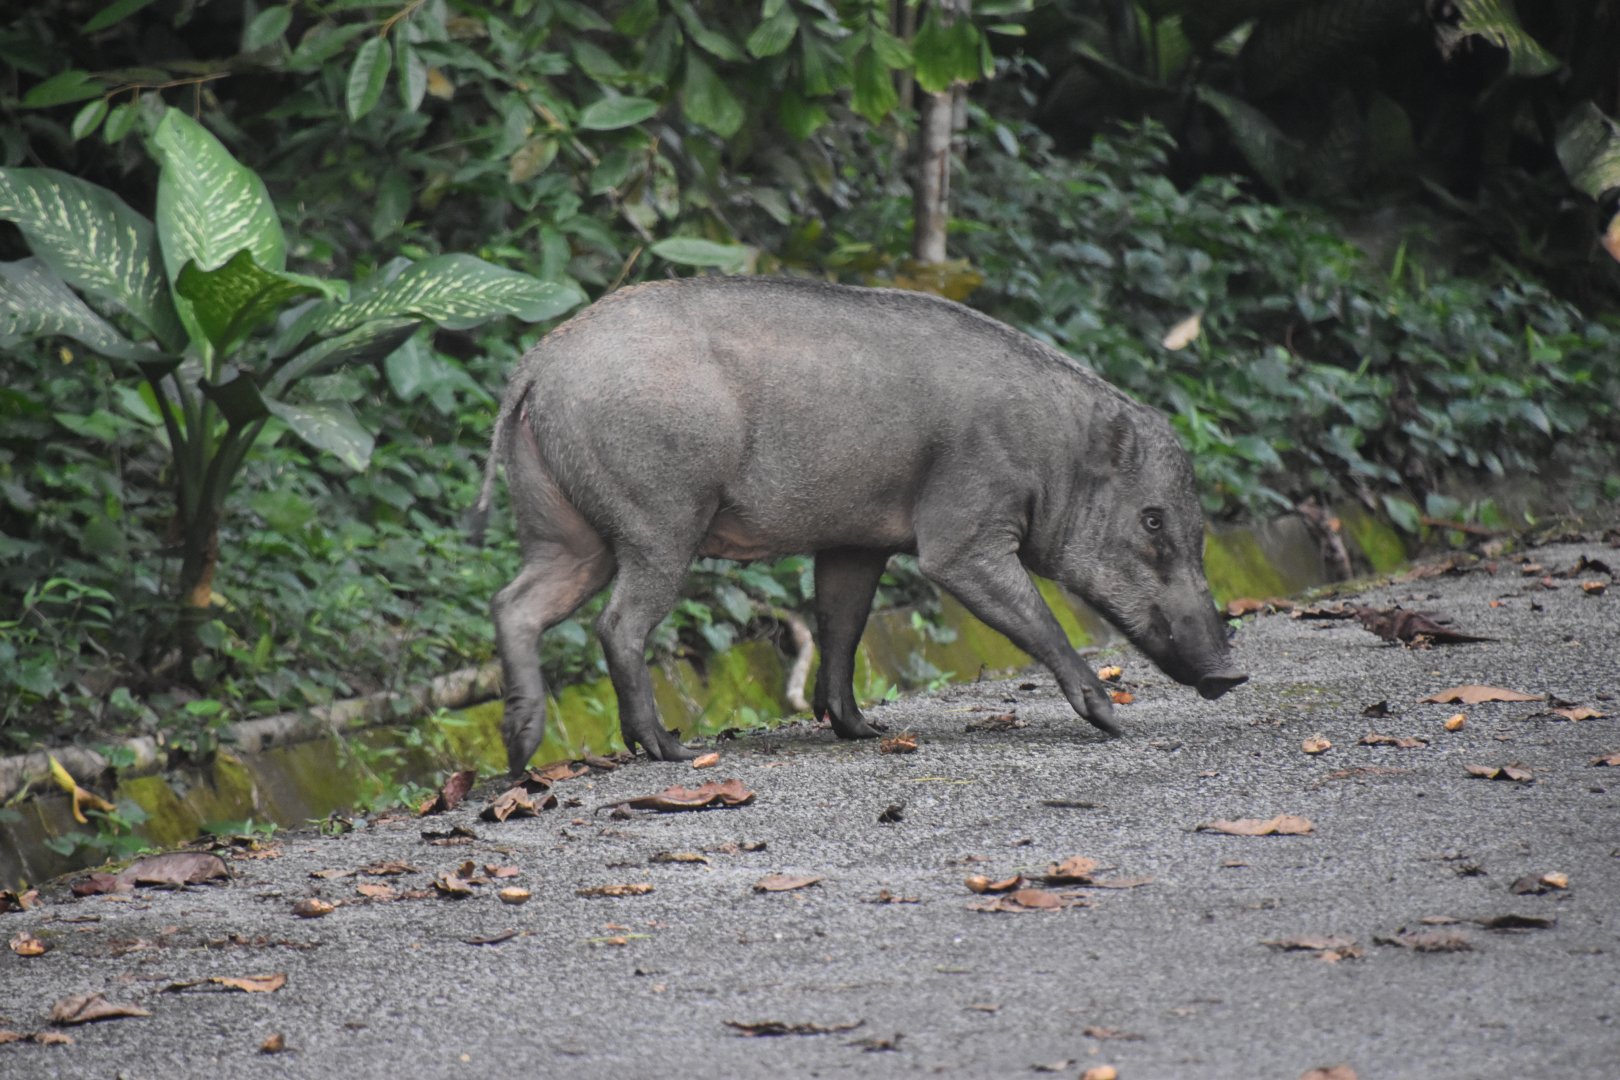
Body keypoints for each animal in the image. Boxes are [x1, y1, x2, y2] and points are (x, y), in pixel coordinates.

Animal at [472, 276, 1247, 775]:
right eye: (1153, 519)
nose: (1232, 674)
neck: (1053, 457)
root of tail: (538, 364)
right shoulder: (963, 532)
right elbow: (1036, 616)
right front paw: (1113, 720)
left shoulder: (855, 542)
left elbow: (843, 625)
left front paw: (865, 729)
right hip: (659, 519)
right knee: (618, 624)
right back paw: (671, 750)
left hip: (567, 532)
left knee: (514, 604)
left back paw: (519, 751)